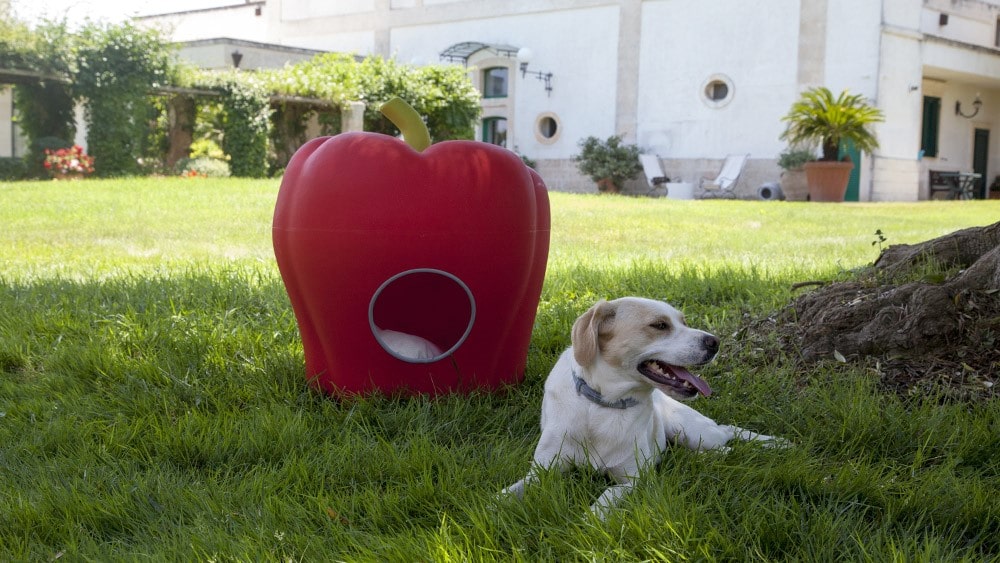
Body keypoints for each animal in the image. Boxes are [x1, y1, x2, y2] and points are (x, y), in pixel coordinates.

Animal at [504, 300, 784, 520]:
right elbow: (510, 491)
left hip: (693, 431)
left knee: (726, 431)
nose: (716, 342)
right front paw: (497, 506)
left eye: (683, 321)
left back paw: (774, 443)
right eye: (660, 325)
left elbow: (604, 499)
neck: (604, 405)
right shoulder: (543, 470)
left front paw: (586, 524)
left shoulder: (631, 480)